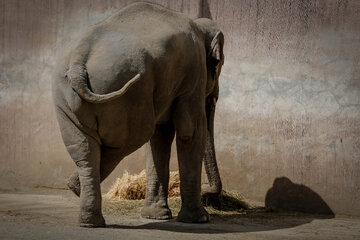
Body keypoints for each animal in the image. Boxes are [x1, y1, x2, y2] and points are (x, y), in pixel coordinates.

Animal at [52, 1, 224, 227]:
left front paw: (156, 216)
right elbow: (189, 131)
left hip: (67, 100)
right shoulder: (193, 71)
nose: (207, 192)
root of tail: (78, 63)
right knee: (129, 139)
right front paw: (199, 219)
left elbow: (161, 135)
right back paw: (81, 196)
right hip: (125, 93)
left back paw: (84, 208)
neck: (198, 25)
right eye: (218, 65)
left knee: (85, 150)